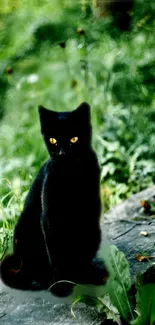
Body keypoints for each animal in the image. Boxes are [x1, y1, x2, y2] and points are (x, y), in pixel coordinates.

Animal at [0, 102, 108, 294]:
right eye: (53, 140)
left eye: (74, 138)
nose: (62, 153)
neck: (70, 175)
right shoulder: (50, 216)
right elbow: (57, 253)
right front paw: (61, 285)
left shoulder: (88, 212)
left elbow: (81, 249)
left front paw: (84, 275)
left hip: (95, 231)